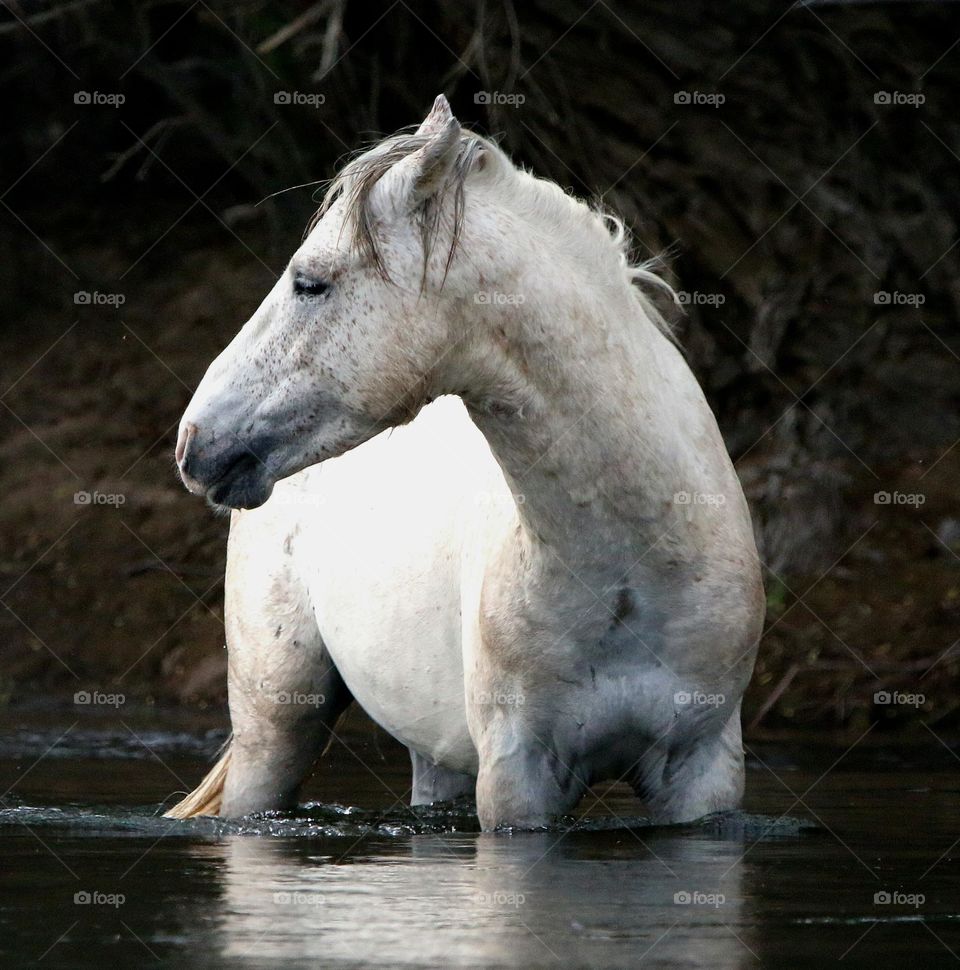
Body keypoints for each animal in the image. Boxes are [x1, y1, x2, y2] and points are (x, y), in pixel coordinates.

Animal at [166, 95, 764, 830]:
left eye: (310, 283)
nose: (195, 442)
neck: (633, 569)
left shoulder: (703, 771)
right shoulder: (516, 777)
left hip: (435, 754)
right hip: (274, 726)